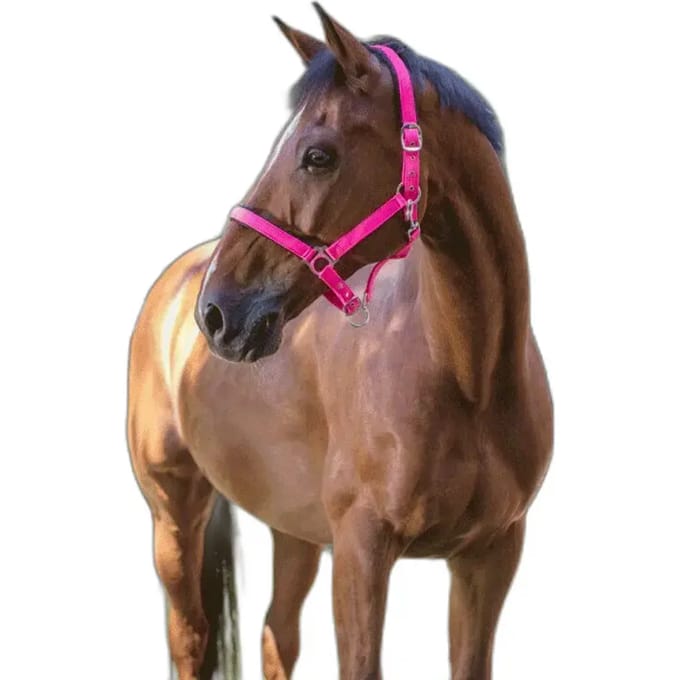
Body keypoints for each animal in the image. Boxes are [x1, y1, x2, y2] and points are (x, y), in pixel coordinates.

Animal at [126, 5, 553, 679]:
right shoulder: (361, 550)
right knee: (190, 638)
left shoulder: (490, 555)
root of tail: (175, 284)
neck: (470, 377)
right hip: (173, 514)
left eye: (317, 155)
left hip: (292, 527)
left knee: (276, 636)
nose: (218, 314)